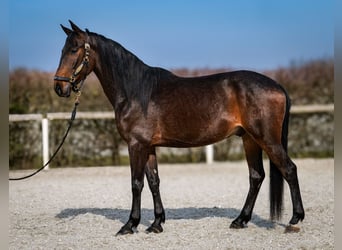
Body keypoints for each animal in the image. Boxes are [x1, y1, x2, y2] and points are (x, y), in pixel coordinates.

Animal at [53, 21, 304, 234]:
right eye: (62, 50)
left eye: (74, 49)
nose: (59, 87)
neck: (134, 91)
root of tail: (276, 85)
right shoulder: (148, 146)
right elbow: (153, 182)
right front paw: (156, 223)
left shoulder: (136, 145)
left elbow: (136, 184)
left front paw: (130, 225)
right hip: (249, 139)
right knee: (256, 176)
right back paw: (240, 220)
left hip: (266, 139)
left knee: (289, 169)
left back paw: (295, 220)